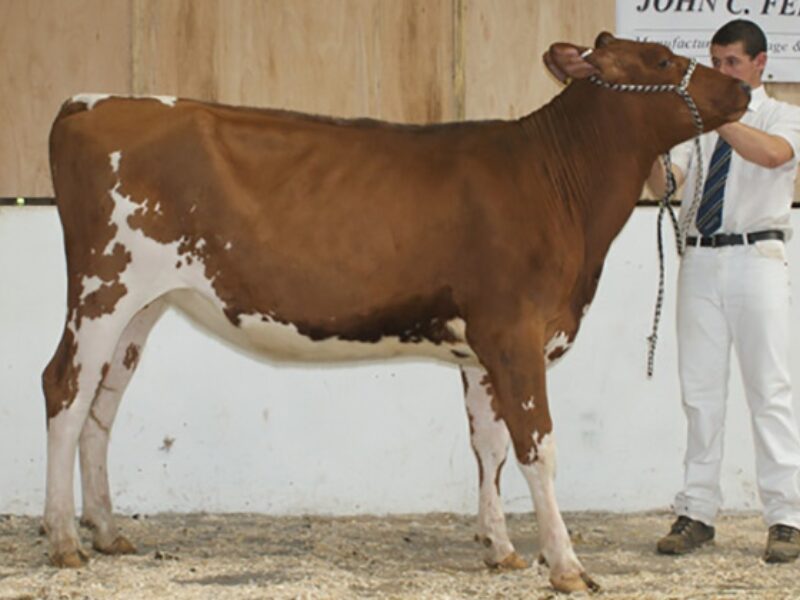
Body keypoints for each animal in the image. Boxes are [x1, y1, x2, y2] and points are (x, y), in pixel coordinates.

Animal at [43, 32, 749, 593]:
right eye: (661, 58)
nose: (743, 87)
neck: (556, 184)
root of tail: (90, 101)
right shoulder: (516, 333)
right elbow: (538, 450)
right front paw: (567, 565)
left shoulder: (479, 350)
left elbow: (489, 447)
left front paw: (501, 549)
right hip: (103, 287)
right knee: (65, 390)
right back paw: (63, 540)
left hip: (143, 305)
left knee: (103, 405)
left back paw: (106, 531)